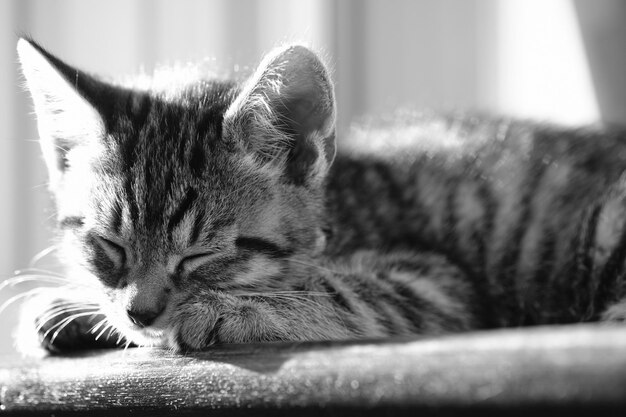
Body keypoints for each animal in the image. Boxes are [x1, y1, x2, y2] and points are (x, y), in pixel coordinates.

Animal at [12, 38, 624, 352]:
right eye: (108, 245)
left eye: (202, 254)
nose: (142, 312)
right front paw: (74, 306)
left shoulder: (439, 282)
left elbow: (342, 294)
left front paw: (223, 310)